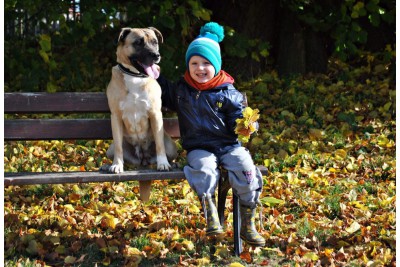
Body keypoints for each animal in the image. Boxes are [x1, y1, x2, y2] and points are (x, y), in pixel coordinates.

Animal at [103, 27, 178, 201]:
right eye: (138, 43)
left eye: (155, 42)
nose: (156, 55)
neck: (135, 76)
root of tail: (143, 159)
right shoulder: (115, 117)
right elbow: (119, 147)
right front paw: (117, 165)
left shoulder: (156, 114)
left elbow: (159, 145)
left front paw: (163, 163)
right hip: (111, 149)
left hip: (171, 146)